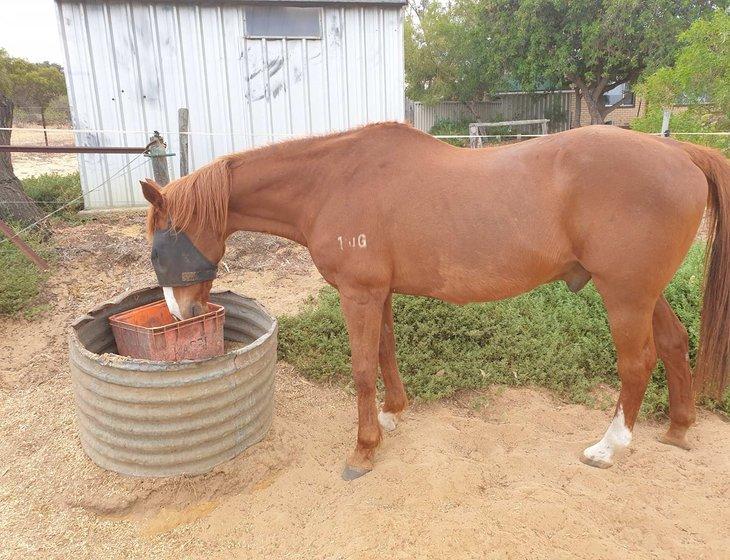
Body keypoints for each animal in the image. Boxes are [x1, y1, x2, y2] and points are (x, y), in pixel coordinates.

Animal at [139, 124, 724, 480]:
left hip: (624, 294)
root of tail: (679, 151)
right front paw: (393, 416)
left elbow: (361, 369)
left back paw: (608, 447)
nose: (182, 315)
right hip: (644, 292)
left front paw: (364, 449)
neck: (331, 182)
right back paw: (677, 428)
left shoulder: (358, 294)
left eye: (160, 248)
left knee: (636, 362)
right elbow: (386, 354)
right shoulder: (379, 293)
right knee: (674, 342)